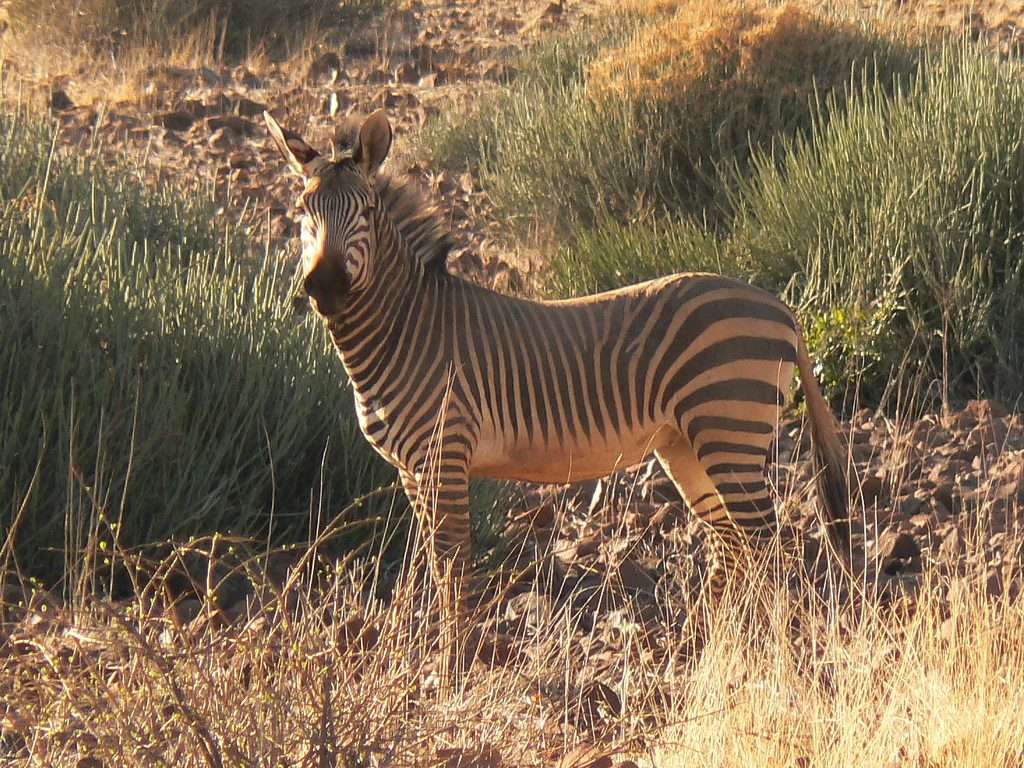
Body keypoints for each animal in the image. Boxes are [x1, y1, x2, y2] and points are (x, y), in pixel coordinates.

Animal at [263, 109, 850, 608]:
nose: (324, 287)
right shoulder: (412, 471)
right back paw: (720, 648)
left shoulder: (444, 456)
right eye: (303, 213)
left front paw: (453, 661)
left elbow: (454, 575)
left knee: (768, 548)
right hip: (688, 444)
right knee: (737, 548)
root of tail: (781, 307)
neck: (406, 328)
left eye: (363, 211)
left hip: (728, 428)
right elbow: (437, 568)